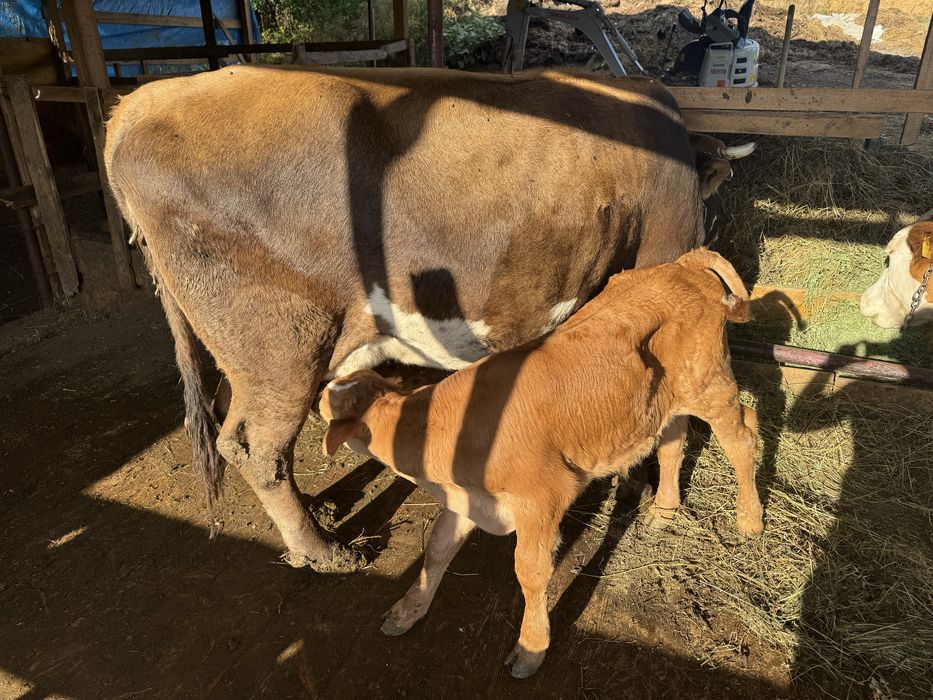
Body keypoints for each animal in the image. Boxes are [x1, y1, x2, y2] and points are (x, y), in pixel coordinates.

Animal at [105, 64, 729, 572]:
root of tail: (141, 103)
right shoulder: (657, 260)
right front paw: (643, 492)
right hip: (281, 348)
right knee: (257, 449)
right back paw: (324, 551)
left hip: (256, 354)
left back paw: (319, 509)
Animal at [320, 248, 764, 679]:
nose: (318, 394)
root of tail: (682, 265)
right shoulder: (468, 499)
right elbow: (437, 550)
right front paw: (408, 610)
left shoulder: (542, 500)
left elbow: (530, 573)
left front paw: (530, 648)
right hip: (663, 400)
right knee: (673, 440)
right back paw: (664, 510)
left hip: (710, 383)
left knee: (742, 437)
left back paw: (749, 520)